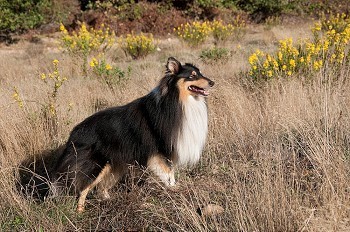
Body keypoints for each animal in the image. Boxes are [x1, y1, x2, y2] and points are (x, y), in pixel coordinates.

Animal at [53, 56, 215, 212]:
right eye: (192, 76)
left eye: (200, 73)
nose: (212, 82)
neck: (177, 100)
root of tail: (74, 133)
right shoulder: (160, 152)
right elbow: (169, 174)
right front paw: (174, 189)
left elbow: (171, 173)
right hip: (96, 165)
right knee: (83, 189)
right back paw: (80, 211)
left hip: (114, 165)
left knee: (101, 188)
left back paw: (111, 201)